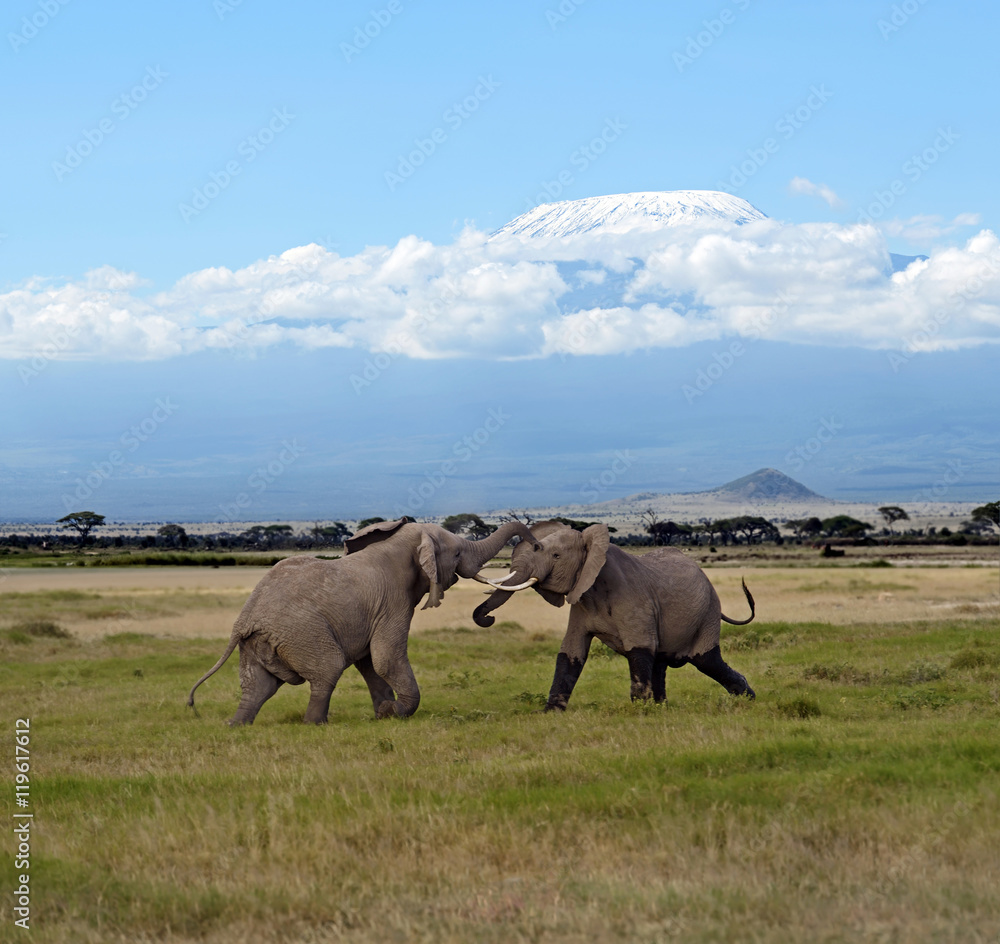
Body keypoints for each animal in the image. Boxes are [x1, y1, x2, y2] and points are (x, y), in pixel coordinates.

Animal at [188, 517, 533, 724]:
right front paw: (395, 712)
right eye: (458, 553)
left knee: (258, 687)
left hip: (258, 642)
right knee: (327, 671)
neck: (401, 544)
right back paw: (315, 724)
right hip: (302, 633)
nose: (536, 541)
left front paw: (383, 712)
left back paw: (236, 725)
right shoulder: (394, 601)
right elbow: (385, 658)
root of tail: (244, 619)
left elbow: (369, 661)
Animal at [471, 521, 756, 710]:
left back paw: (748, 699)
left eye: (556, 555)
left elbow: (639, 649)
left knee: (706, 660)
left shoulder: (633, 599)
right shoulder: (582, 598)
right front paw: (551, 713)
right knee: (661, 662)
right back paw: (662, 708)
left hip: (708, 612)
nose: (488, 619)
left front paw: (638, 713)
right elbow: (571, 651)